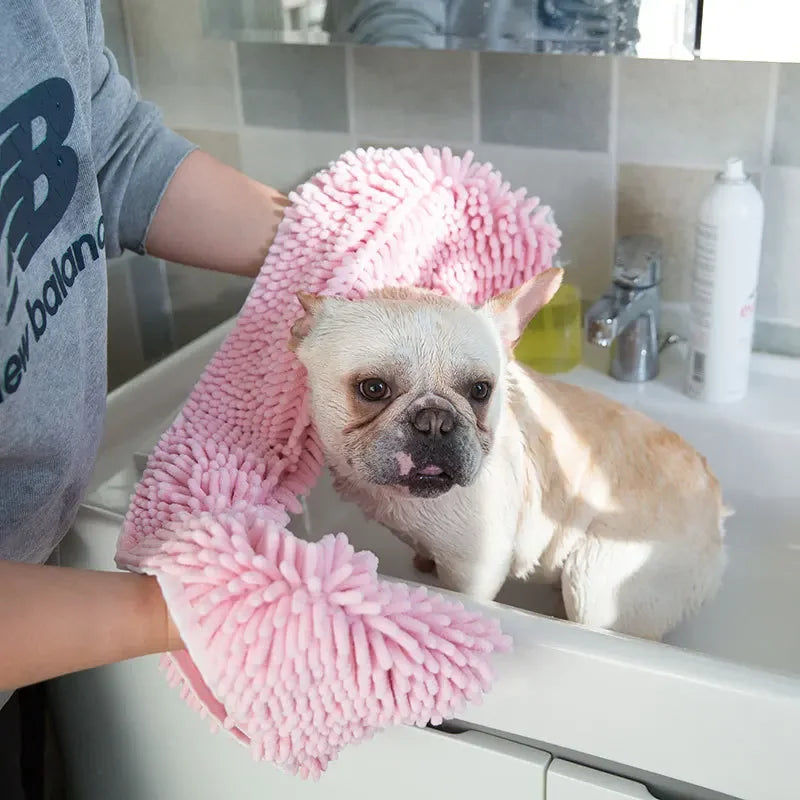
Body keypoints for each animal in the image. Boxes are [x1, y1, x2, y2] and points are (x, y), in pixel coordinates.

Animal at [290, 272, 728, 640]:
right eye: (373, 388)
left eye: (480, 391)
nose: (435, 420)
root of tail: (716, 506)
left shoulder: (474, 568)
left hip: (597, 580)